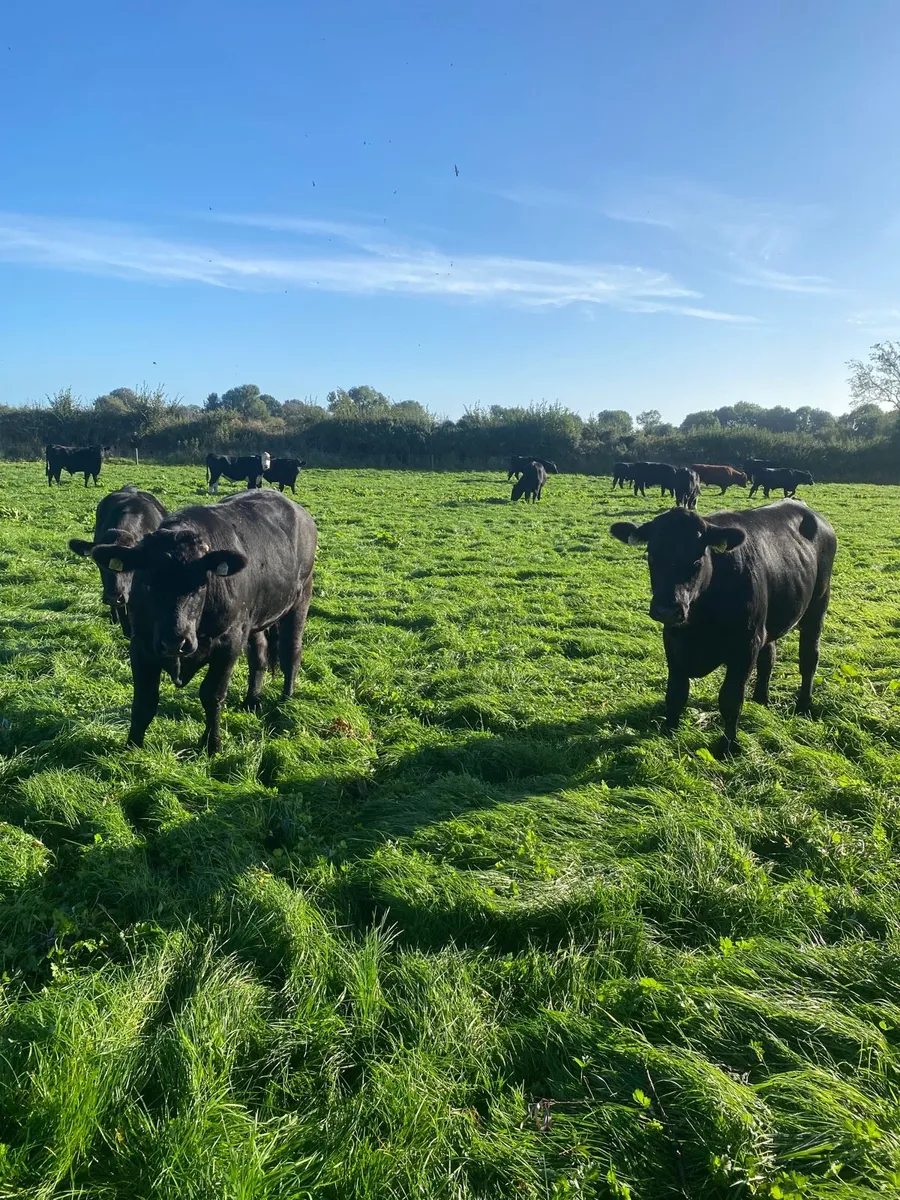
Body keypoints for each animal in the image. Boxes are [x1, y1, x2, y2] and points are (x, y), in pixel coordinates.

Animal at [90, 490, 316, 755]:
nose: (175, 641)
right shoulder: (140, 644)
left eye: (202, 583)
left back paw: (285, 703)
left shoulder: (229, 643)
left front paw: (212, 743)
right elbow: (144, 700)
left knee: (292, 652)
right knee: (259, 655)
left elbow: (212, 694)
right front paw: (132, 746)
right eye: (146, 580)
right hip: (255, 620)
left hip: (300, 600)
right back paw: (252, 700)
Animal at [609, 500, 836, 755]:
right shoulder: (672, 640)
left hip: (818, 604)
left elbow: (730, 699)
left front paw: (728, 745)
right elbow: (676, 692)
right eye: (652, 554)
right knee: (769, 657)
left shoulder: (746, 646)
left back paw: (803, 704)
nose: (667, 609)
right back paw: (761, 699)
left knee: (809, 657)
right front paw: (669, 732)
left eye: (697, 559)